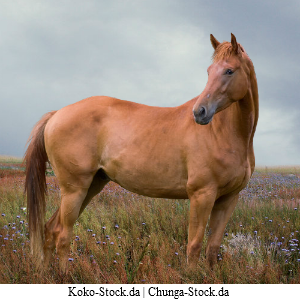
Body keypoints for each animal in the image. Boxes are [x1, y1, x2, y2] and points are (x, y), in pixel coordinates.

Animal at [24, 33, 258, 272]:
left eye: (229, 70)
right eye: (209, 71)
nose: (200, 112)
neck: (223, 133)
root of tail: (56, 114)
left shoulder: (228, 199)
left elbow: (212, 248)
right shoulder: (202, 195)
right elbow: (194, 246)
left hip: (91, 187)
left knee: (50, 229)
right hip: (74, 190)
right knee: (62, 235)